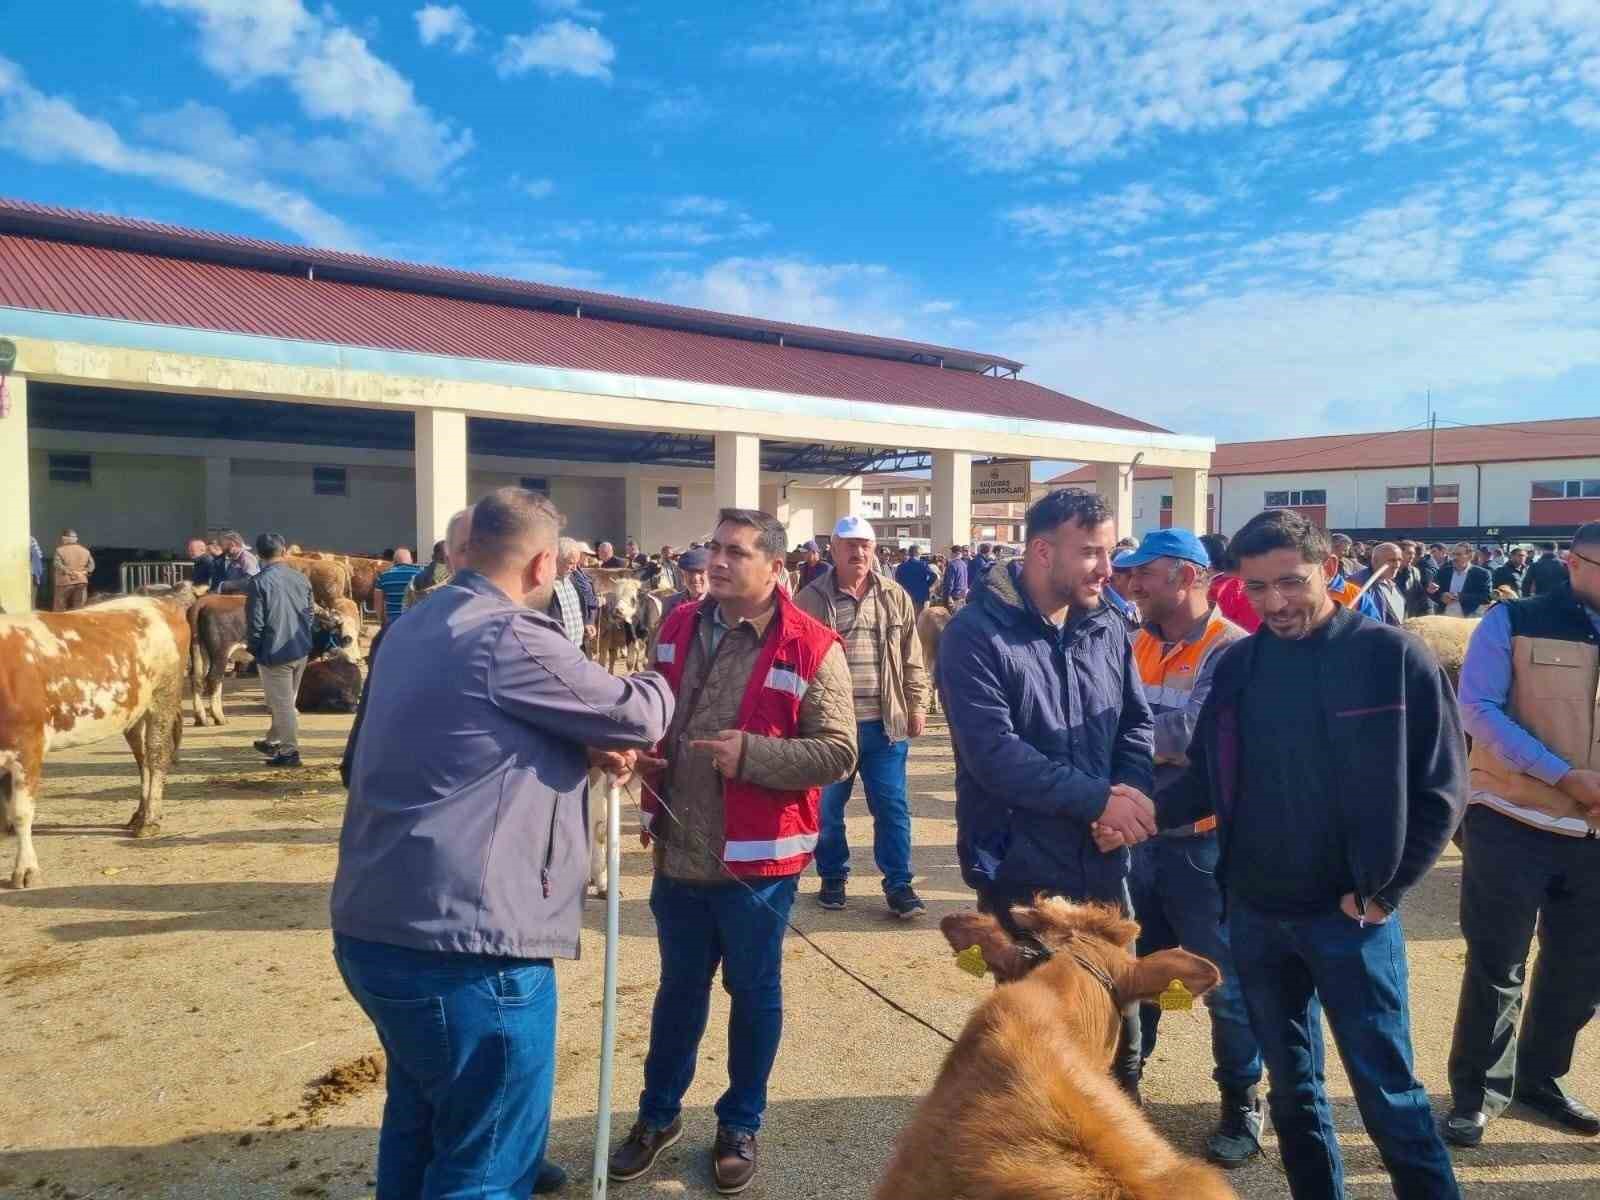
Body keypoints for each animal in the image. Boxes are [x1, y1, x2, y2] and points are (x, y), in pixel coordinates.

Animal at [0, 598, 190, 889]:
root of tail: (157, 601)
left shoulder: (28, 746)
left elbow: (21, 812)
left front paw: (26, 869)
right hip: (134, 714)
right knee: (143, 761)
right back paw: (139, 815)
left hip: (164, 697)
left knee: (157, 757)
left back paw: (150, 820)